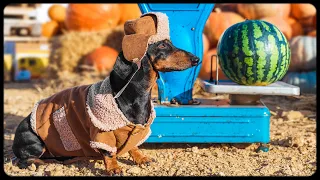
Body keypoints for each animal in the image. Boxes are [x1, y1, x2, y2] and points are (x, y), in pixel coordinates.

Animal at [12, 11, 199, 175]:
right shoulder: (101, 130)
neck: (134, 94)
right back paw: (44, 162)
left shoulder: (134, 131)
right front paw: (114, 168)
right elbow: (109, 152)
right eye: (162, 44)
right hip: (36, 142)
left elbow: (133, 146)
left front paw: (141, 158)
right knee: (24, 160)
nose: (196, 59)